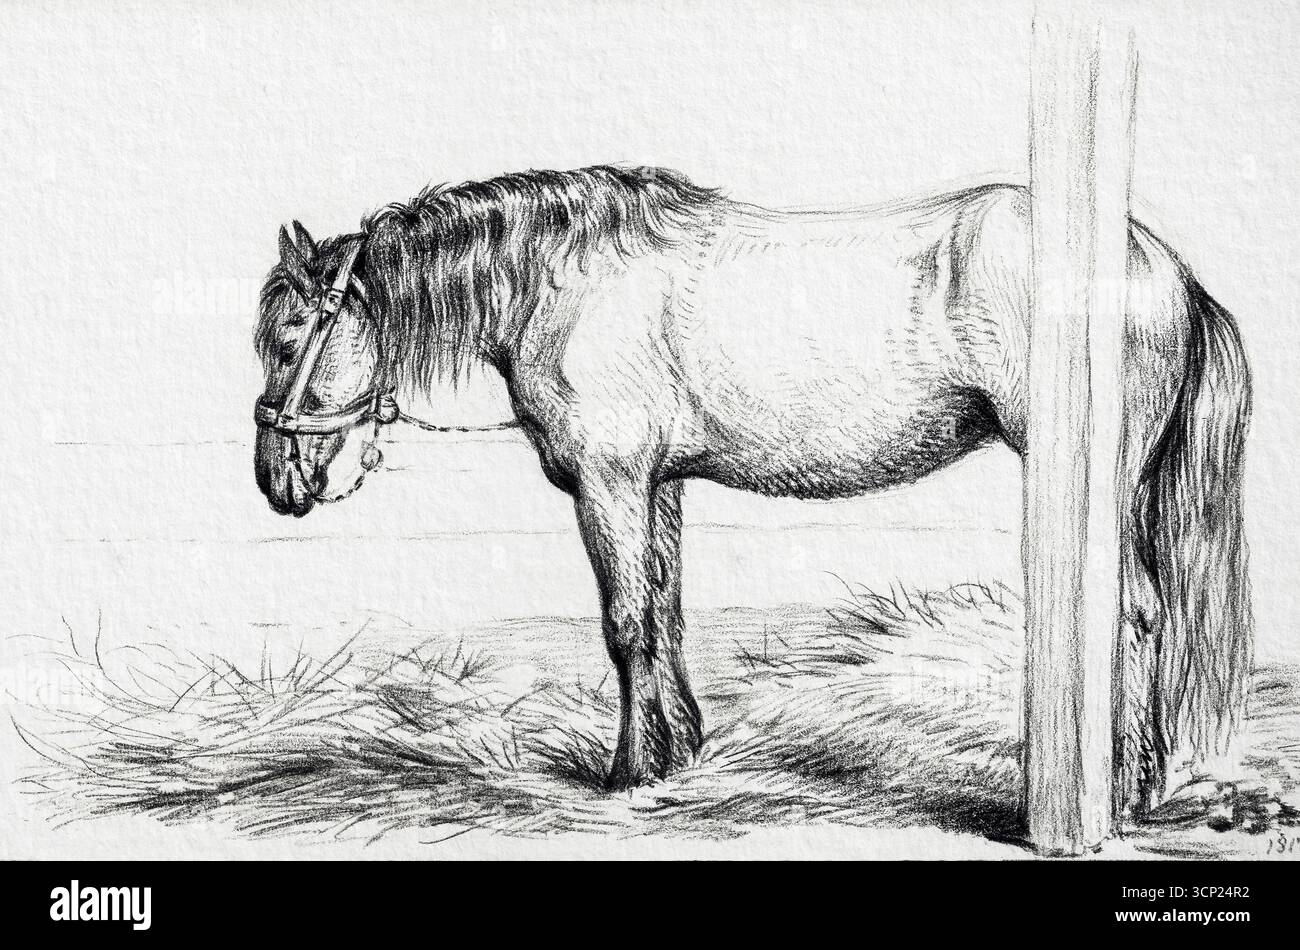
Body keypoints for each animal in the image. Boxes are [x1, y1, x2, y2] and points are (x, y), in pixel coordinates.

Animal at [253, 165, 1251, 808]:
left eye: (290, 336)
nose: (274, 478)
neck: (567, 284)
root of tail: (1161, 264)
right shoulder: (656, 485)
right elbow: (664, 610)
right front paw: (679, 749)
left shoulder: (609, 483)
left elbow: (625, 623)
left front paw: (627, 771)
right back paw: (1144, 777)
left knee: (1131, 609)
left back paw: (1122, 782)